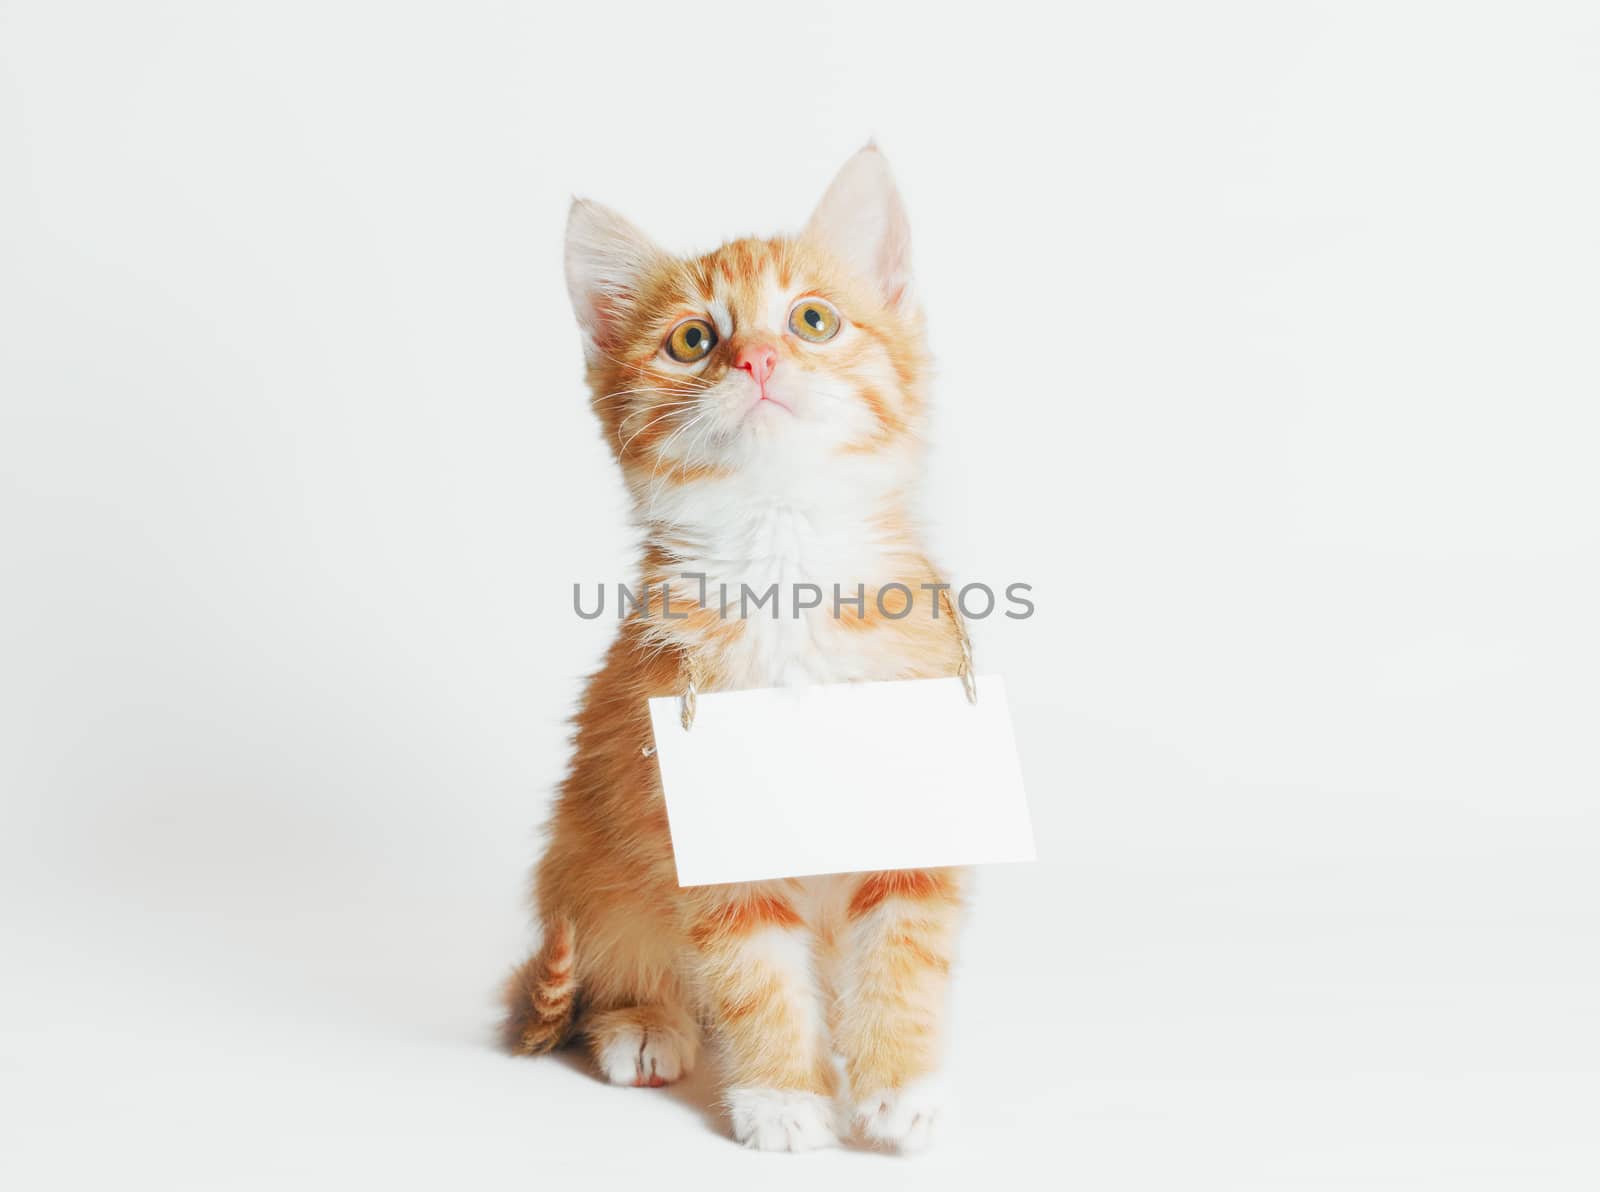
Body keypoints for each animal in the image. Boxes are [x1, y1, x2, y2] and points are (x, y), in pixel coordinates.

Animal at [505, 144, 966, 1145]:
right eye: (691, 340)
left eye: (813, 320)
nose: (756, 356)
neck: (784, 563)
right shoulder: (694, 814)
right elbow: (753, 969)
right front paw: (784, 1095)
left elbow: (903, 948)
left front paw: (900, 1080)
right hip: (591, 857)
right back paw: (642, 1020)